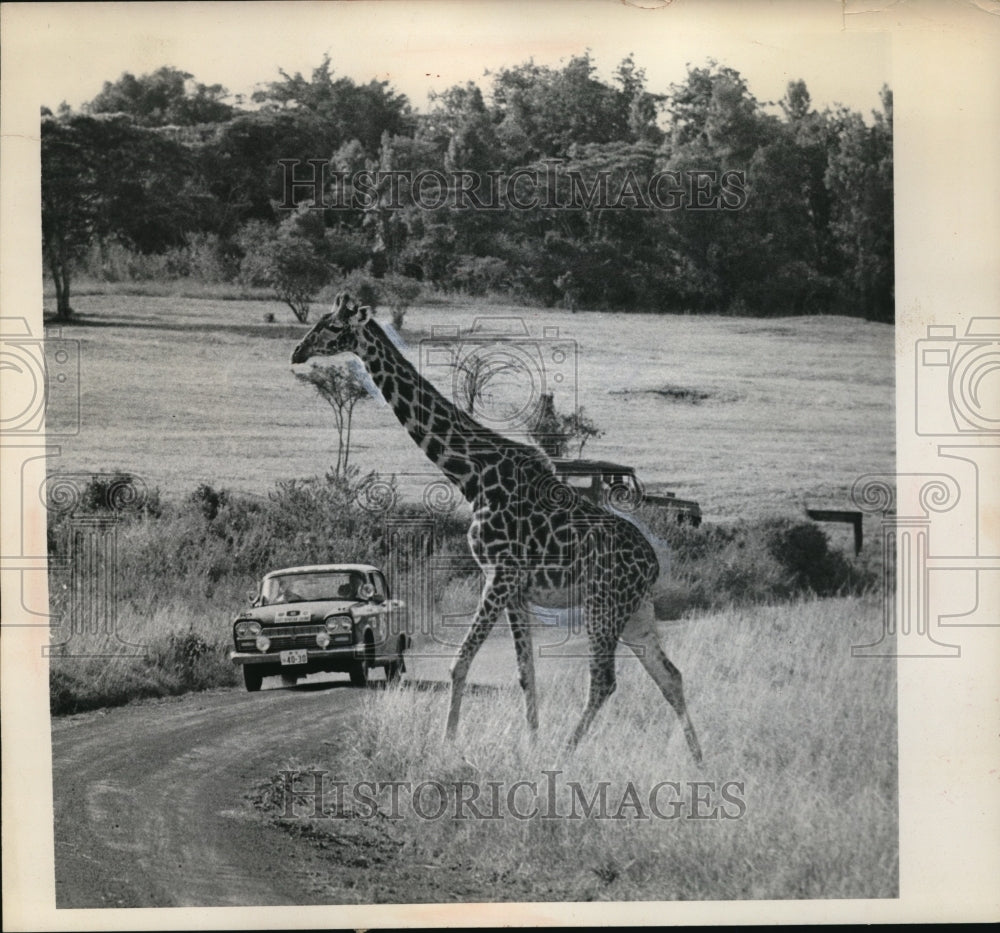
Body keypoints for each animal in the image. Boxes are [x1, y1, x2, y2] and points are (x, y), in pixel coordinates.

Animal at [290, 294, 704, 760]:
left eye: (332, 326)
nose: (297, 352)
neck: (472, 476)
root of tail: (652, 564)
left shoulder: (499, 574)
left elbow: (460, 662)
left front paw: (448, 743)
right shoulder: (516, 588)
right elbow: (526, 672)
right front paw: (530, 741)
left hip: (604, 603)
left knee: (605, 681)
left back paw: (565, 752)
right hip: (635, 611)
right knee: (670, 675)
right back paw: (697, 760)